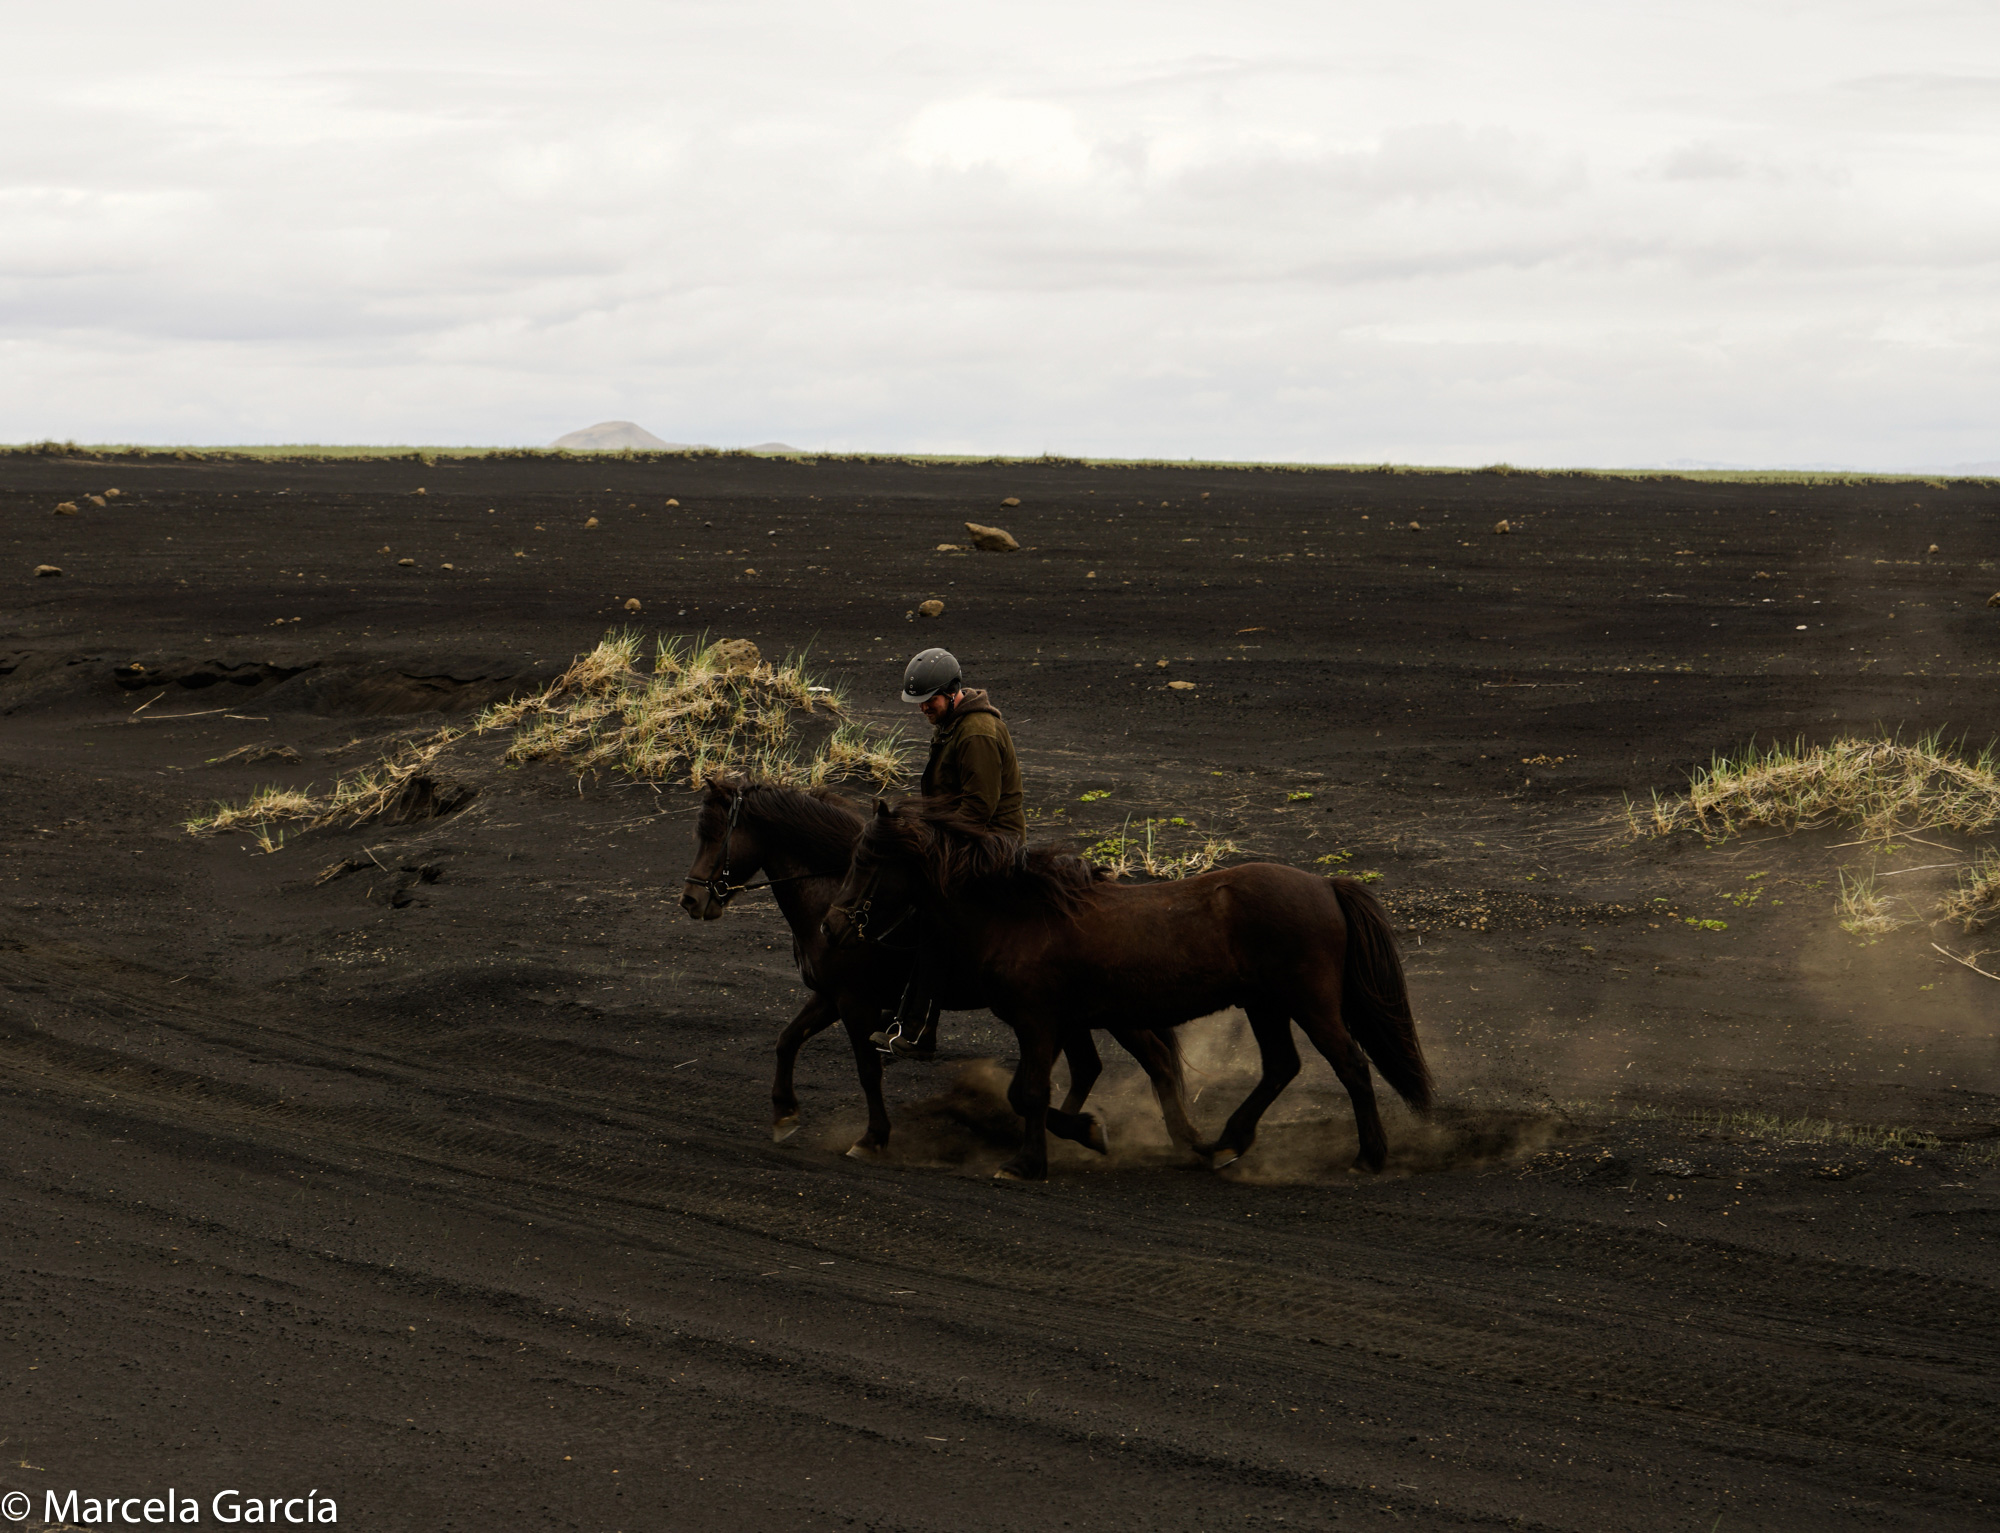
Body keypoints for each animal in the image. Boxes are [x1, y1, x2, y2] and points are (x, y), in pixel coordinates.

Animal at [680, 780, 1192, 1168]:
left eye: (714, 835)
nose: (691, 900)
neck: (833, 893)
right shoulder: (829, 997)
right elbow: (787, 1040)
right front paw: (784, 1114)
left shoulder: (855, 1002)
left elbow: (867, 1070)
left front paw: (873, 1138)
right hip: (1068, 1013)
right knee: (1089, 1066)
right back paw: (1073, 1130)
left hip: (1114, 1012)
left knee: (1156, 1061)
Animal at [820, 804, 1432, 1184]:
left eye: (867, 861)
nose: (832, 925)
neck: (1018, 915)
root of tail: (1325, 884)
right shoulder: (1058, 1023)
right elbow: (1042, 1093)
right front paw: (1083, 1134)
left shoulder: (1038, 1021)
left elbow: (1030, 1093)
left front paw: (1030, 1162)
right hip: (1265, 1006)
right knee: (1281, 1066)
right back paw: (1224, 1143)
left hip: (1310, 1003)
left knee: (1351, 1065)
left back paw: (1367, 1157)